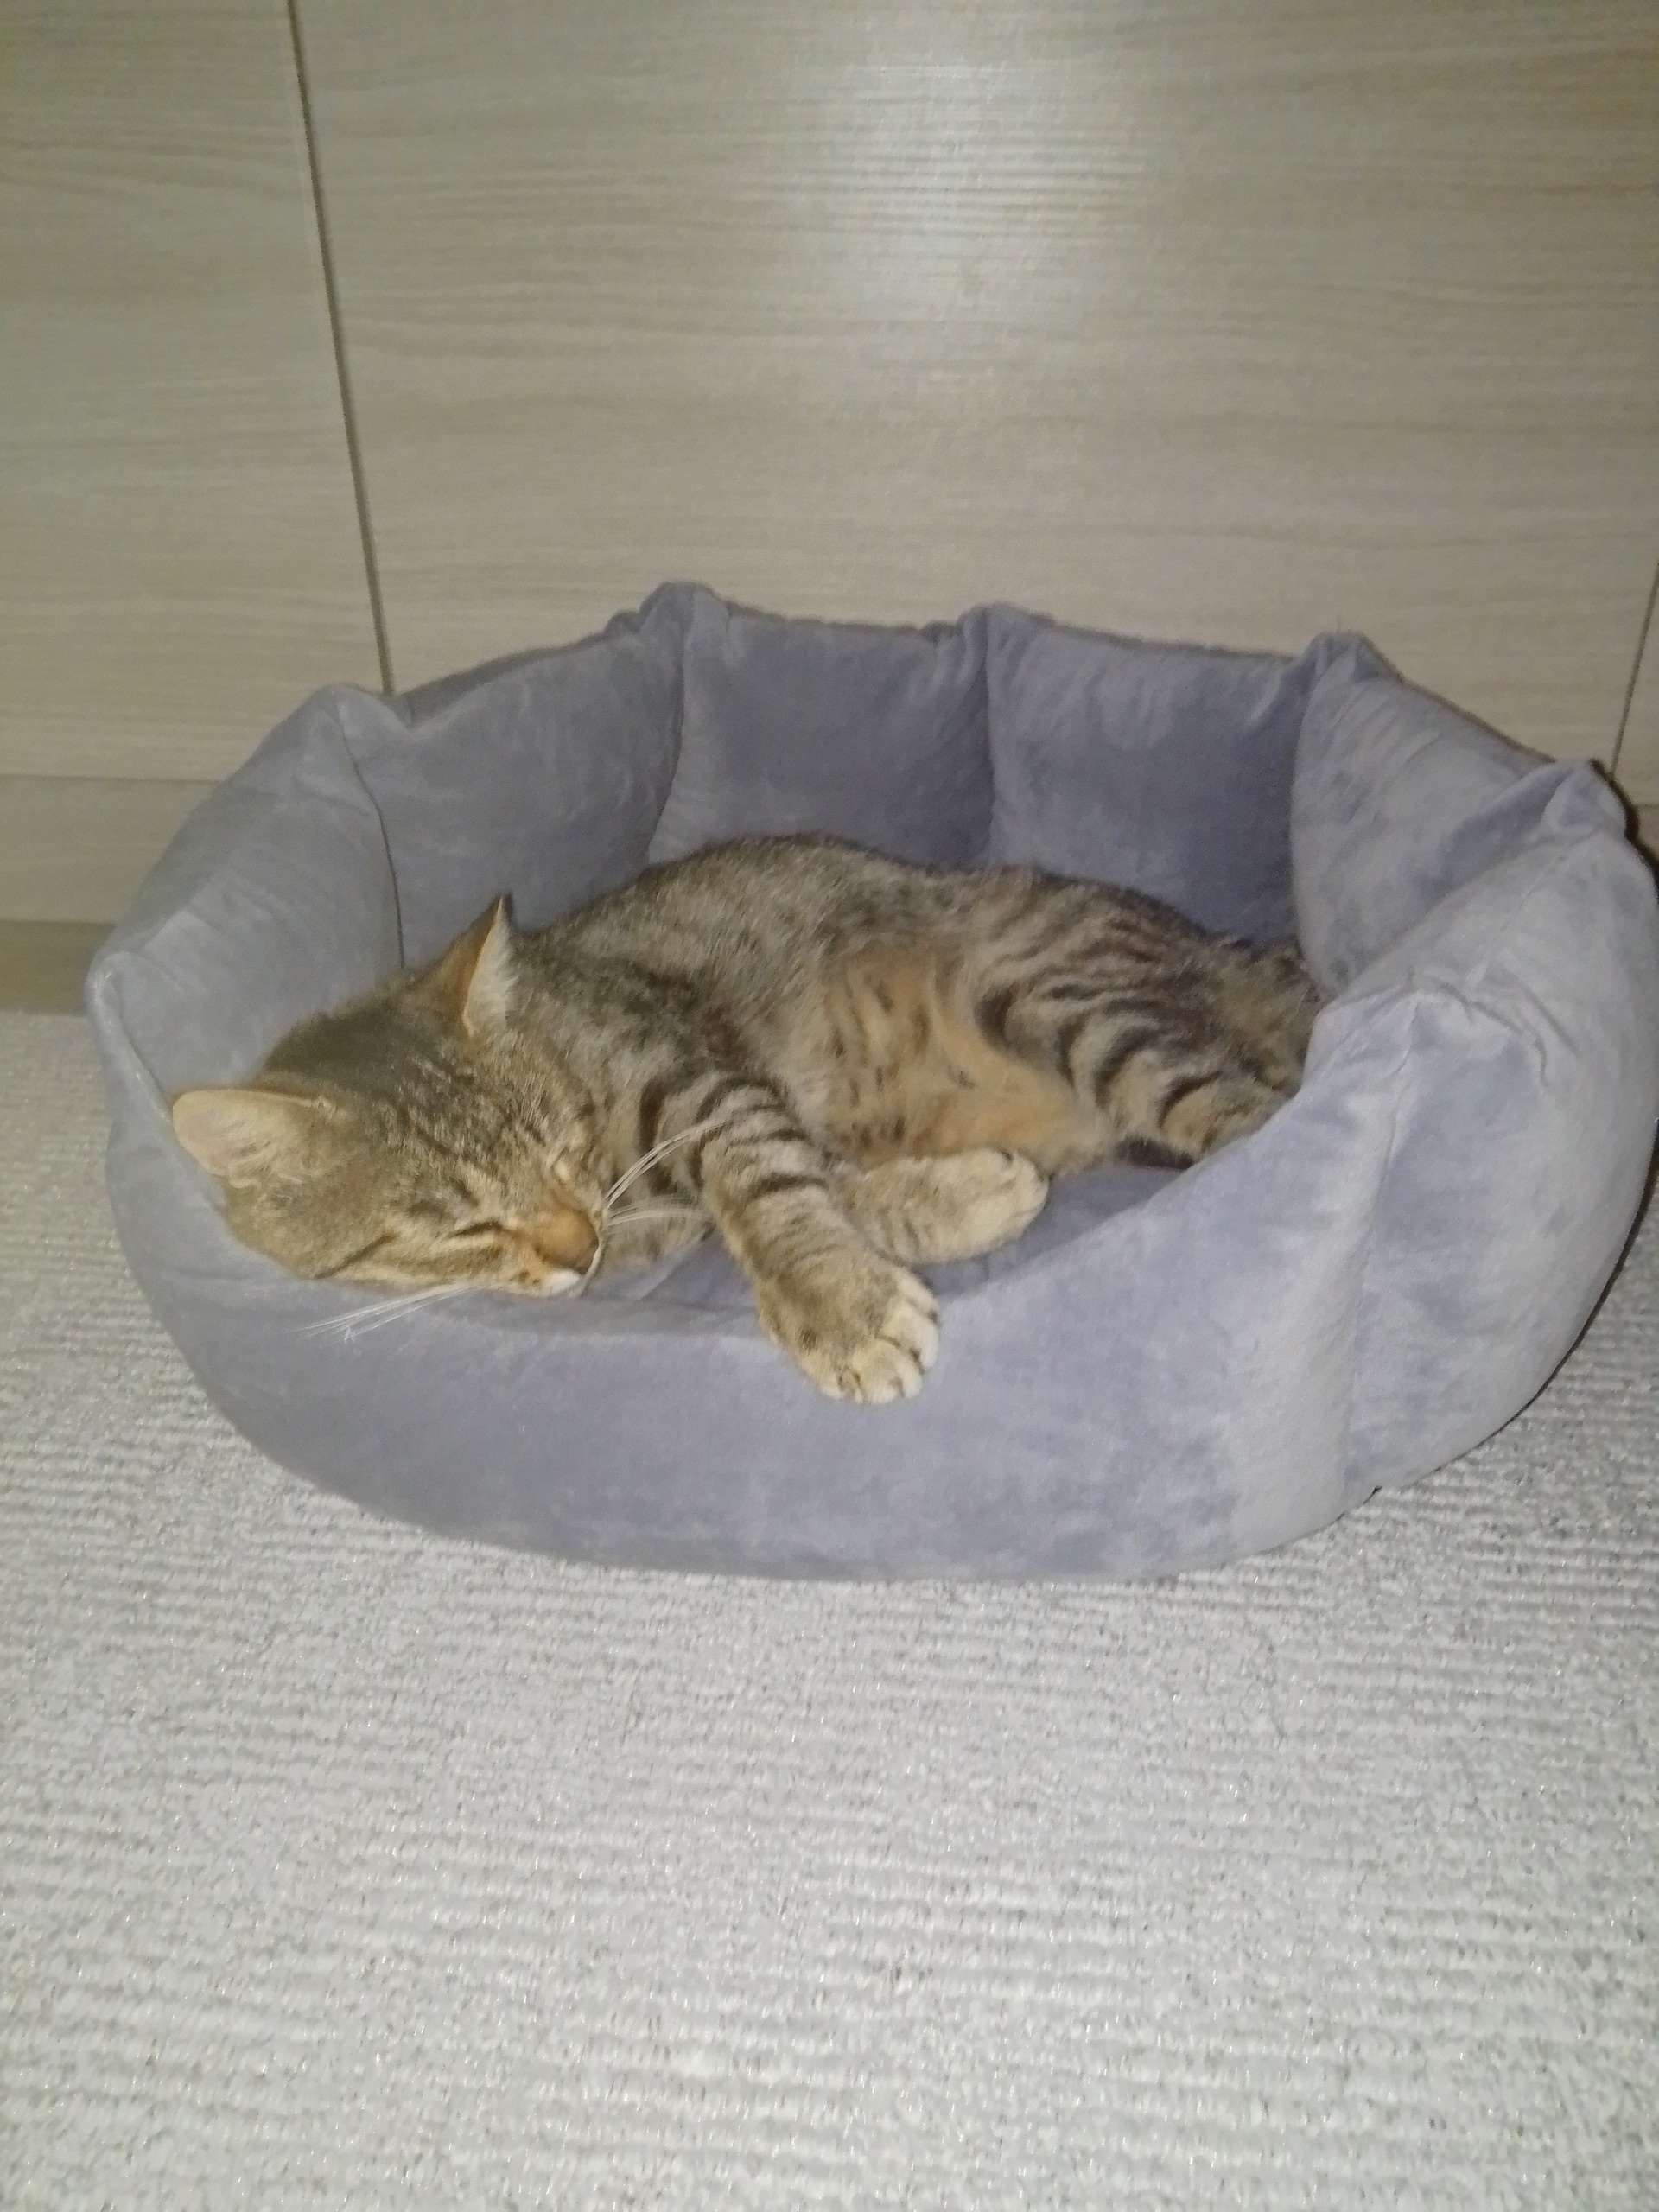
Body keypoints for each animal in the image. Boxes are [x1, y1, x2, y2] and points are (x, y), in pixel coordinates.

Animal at [170, 835, 1319, 1403]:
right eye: (463, 1225)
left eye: (559, 1147)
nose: (577, 1247)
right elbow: (830, 1186)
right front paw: (955, 1204)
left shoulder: (698, 1085)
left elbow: (769, 1186)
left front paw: (840, 1305)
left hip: (1063, 1000)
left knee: (1253, 1109)